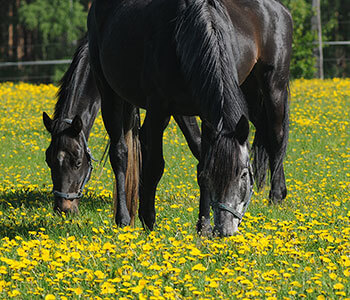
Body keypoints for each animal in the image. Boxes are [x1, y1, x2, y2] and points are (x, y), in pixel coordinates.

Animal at [87, 0, 292, 236]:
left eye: (243, 174)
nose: (225, 230)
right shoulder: (159, 109)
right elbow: (156, 166)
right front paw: (149, 221)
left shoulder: (205, 113)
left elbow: (200, 162)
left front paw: (203, 226)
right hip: (109, 92)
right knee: (120, 152)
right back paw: (123, 218)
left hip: (271, 87)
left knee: (275, 136)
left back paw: (277, 195)